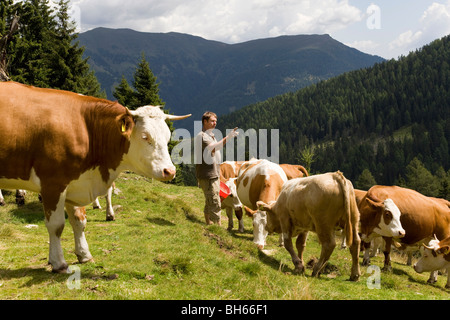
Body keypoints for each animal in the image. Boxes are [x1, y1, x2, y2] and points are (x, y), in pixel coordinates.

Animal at [0, 82, 190, 272]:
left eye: (167, 136)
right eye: (145, 136)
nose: (170, 171)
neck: (87, 129)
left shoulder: (76, 182)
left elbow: (79, 221)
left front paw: (84, 254)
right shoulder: (53, 183)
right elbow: (56, 225)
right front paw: (58, 263)